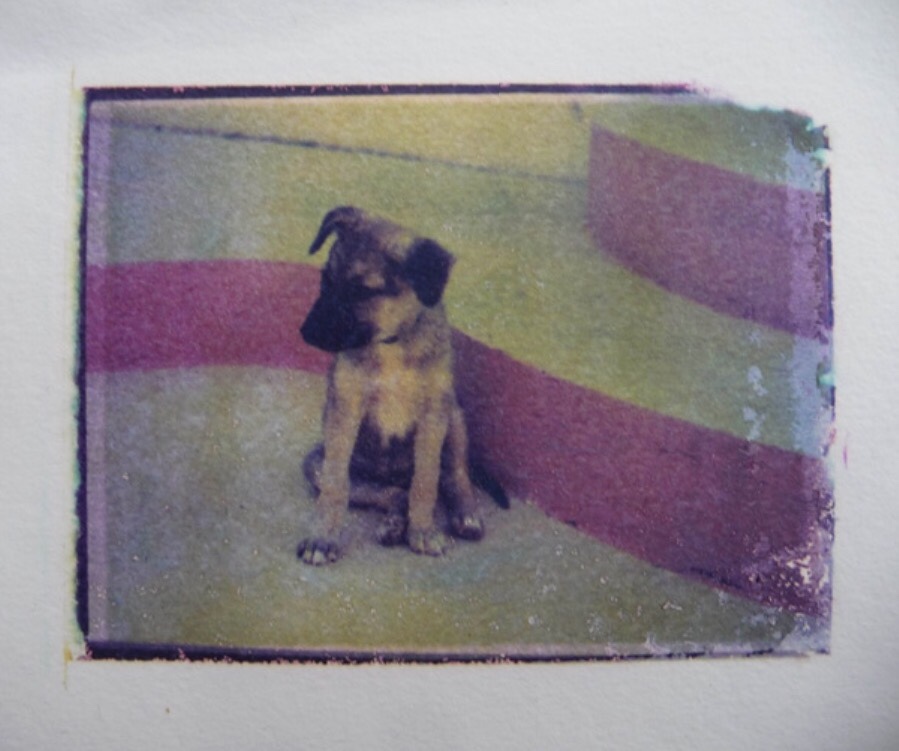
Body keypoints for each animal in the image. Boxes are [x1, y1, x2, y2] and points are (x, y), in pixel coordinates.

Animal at [297, 206, 507, 565]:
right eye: (326, 278)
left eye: (363, 291)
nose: (305, 334)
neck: (391, 343)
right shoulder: (344, 408)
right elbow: (336, 486)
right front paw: (322, 538)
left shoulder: (433, 413)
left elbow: (426, 481)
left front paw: (423, 532)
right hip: (316, 464)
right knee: (390, 494)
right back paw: (394, 524)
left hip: (454, 418)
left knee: (453, 476)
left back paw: (465, 515)